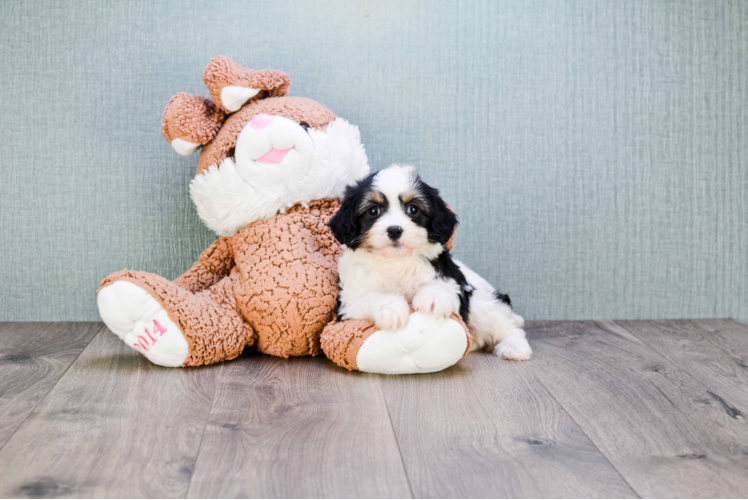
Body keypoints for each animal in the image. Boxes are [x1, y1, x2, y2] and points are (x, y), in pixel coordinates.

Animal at [328, 166, 532, 362]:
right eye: (373, 211)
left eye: (413, 209)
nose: (394, 230)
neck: (397, 260)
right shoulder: (348, 302)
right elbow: (369, 297)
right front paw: (390, 309)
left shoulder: (452, 280)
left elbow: (443, 287)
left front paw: (433, 298)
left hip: (483, 304)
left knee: (509, 327)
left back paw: (514, 347)